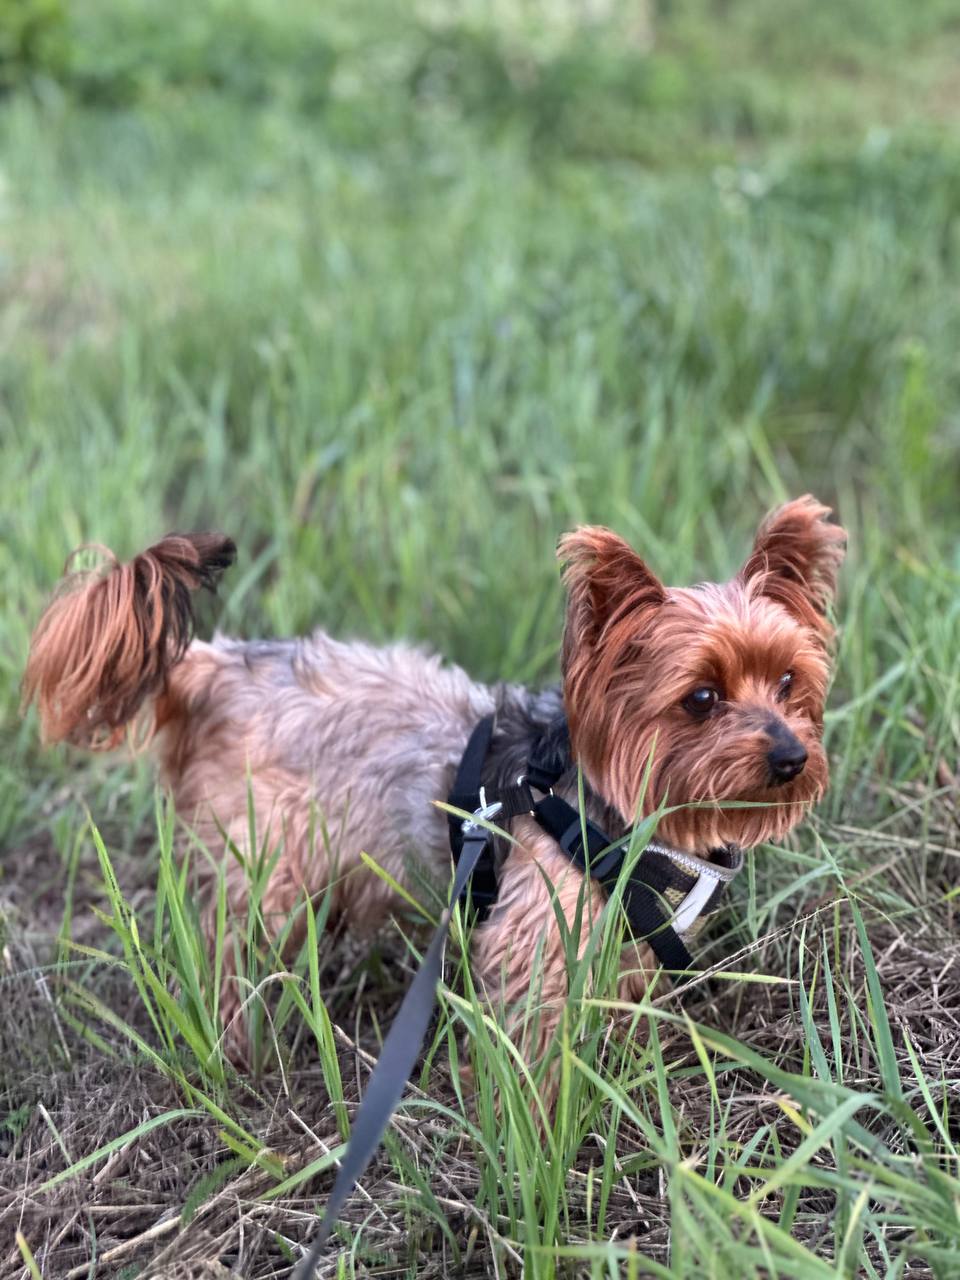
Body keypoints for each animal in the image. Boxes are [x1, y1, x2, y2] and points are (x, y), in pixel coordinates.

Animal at [23, 496, 845, 1066]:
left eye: (788, 682)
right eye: (700, 698)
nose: (790, 758)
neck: (622, 814)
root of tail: (225, 664)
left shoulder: (626, 947)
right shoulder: (536, 941)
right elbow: (539, 1056)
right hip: (260, 867)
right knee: (235, 960)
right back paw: (244, 1047)